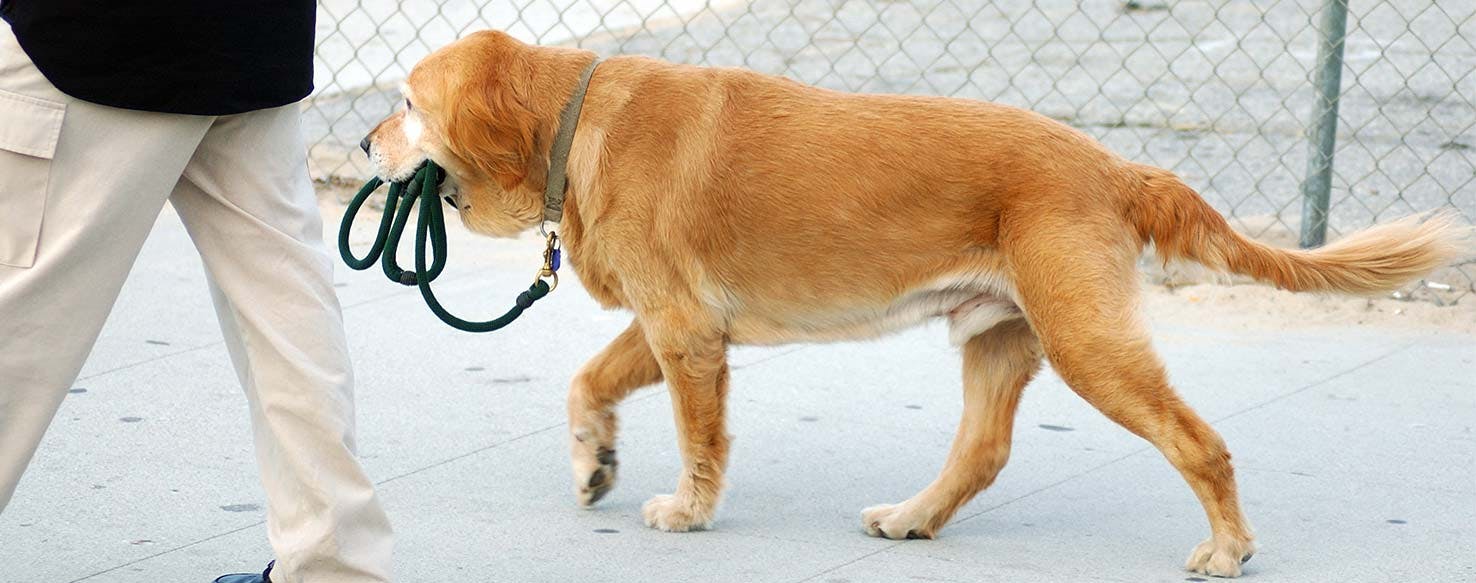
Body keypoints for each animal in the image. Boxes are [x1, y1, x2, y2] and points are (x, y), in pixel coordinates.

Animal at [366, 30, 1464, 575]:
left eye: (406, 103)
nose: (363, 144)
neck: (574, 114)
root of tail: (1114, 165)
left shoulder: (685, 332)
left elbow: (696, 437)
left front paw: (689, 507)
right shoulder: (677, 325)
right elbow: (585, 382)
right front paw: (594, 459)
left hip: (1090, 344)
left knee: (1200, 442)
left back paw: (1230, 546)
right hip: (1000, 338)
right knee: (983, 451)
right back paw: (913, 516)